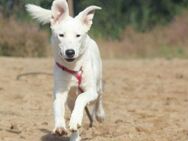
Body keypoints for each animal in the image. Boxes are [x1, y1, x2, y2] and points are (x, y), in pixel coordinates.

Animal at [25, 0, 105, 140]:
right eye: (61, 35)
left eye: (78, 35)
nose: (70, 52)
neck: (74, 68)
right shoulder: (60, 91)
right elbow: (58, 106)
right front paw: (60, 127)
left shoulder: (90, 90)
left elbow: (82, 98)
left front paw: (75, 120)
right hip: (70, 100)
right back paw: (75, 136)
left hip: (98, 83)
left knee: (99, 96)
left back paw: (99, 114)